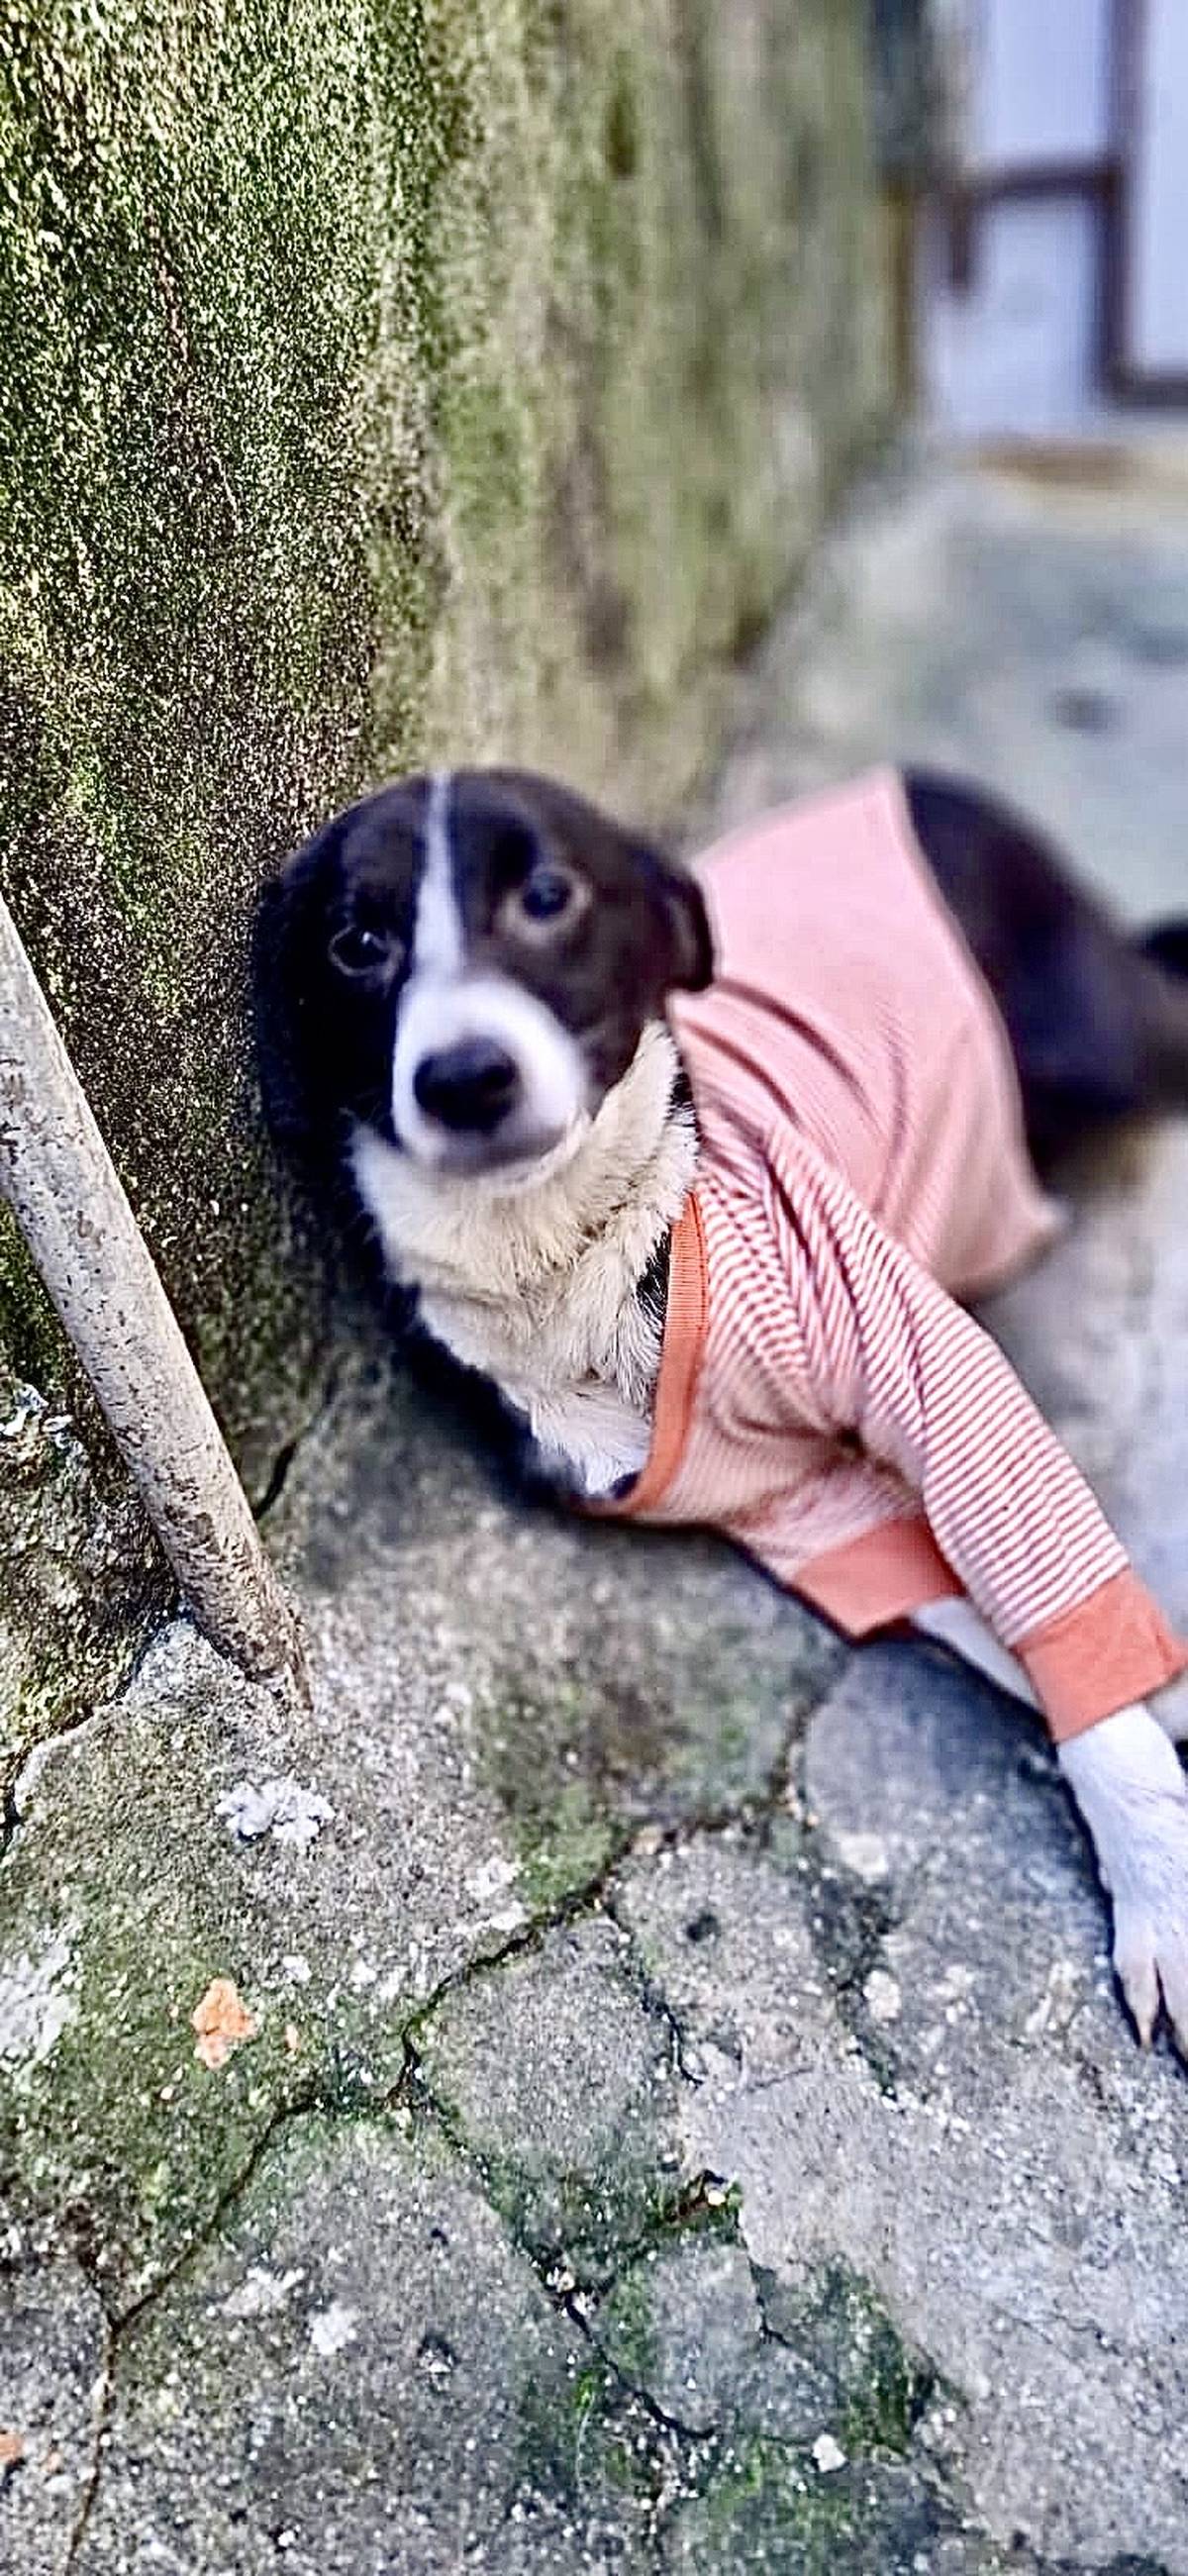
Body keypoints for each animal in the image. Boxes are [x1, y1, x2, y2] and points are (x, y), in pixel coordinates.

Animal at [255, 765, 1188, 2053]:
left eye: (549, 894)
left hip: (1100, 1040)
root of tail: (918, 780)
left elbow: (1053, 1606)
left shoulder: (930, 1371)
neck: (572, 1255)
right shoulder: (808, 1516)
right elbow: (988, 1622)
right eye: (357, 943)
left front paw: (1159, 1884)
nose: (465, 1076)